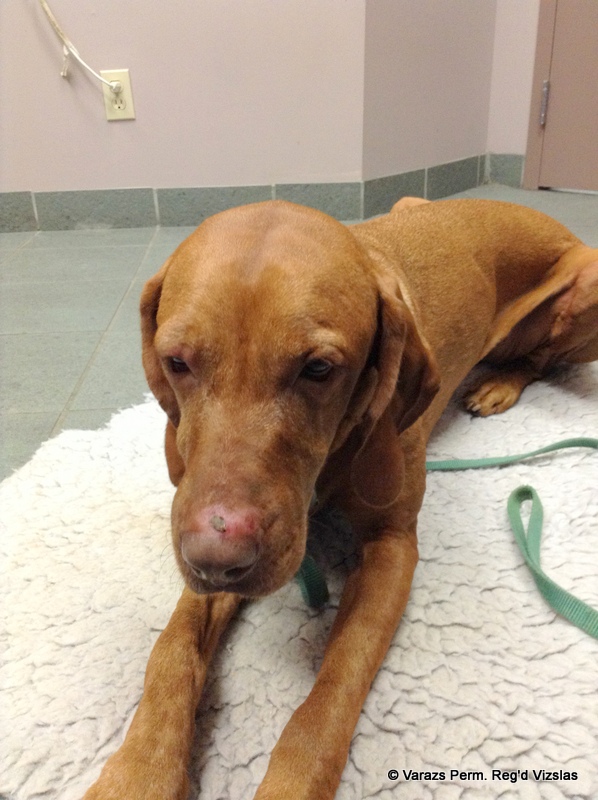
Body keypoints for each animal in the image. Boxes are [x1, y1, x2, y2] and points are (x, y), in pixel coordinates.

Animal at [83, 197, 598, 799]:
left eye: (319, 369)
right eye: (177, 362)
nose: (216, 561)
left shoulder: (392, 547)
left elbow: (334, 686)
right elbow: (171, 649)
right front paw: (137, 771)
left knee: (543, 359)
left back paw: (501, 383)